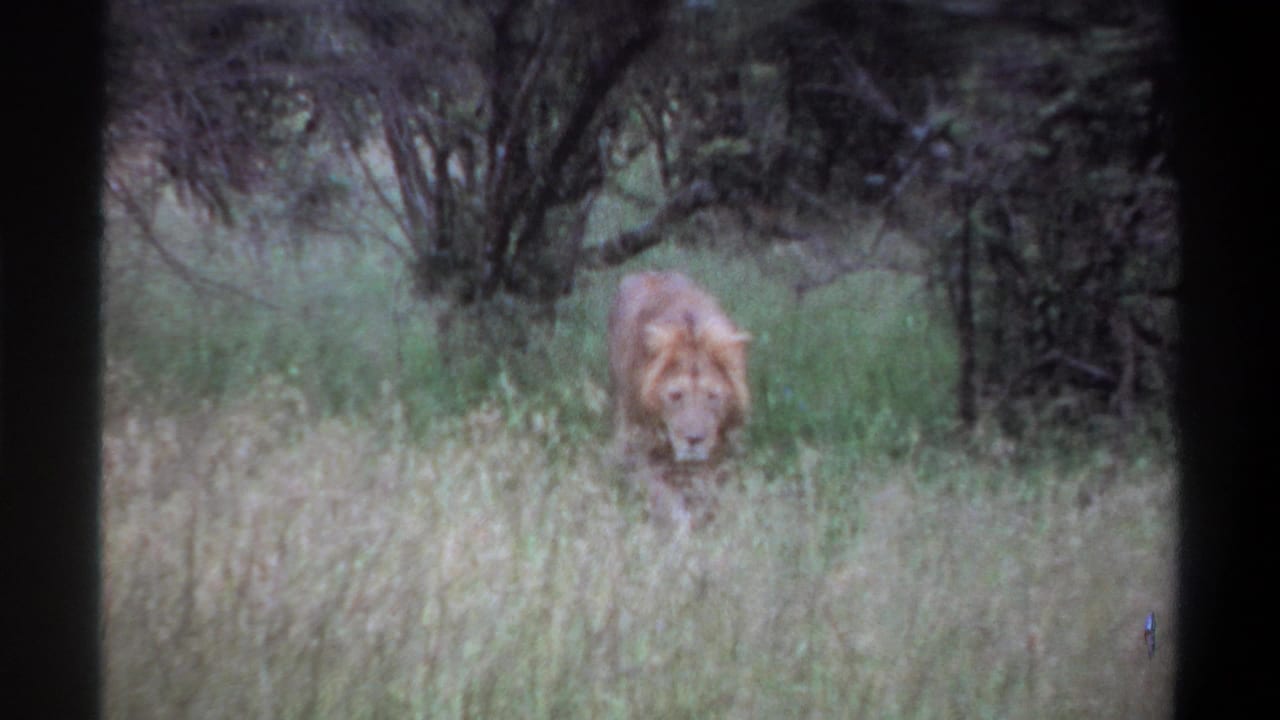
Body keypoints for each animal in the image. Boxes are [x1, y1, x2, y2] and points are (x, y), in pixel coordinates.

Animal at [607, 271, 750, 528]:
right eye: (675, 395)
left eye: (712, 396)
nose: (694, 439)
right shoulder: (640, 446)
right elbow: (665, 501)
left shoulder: (715, 452)